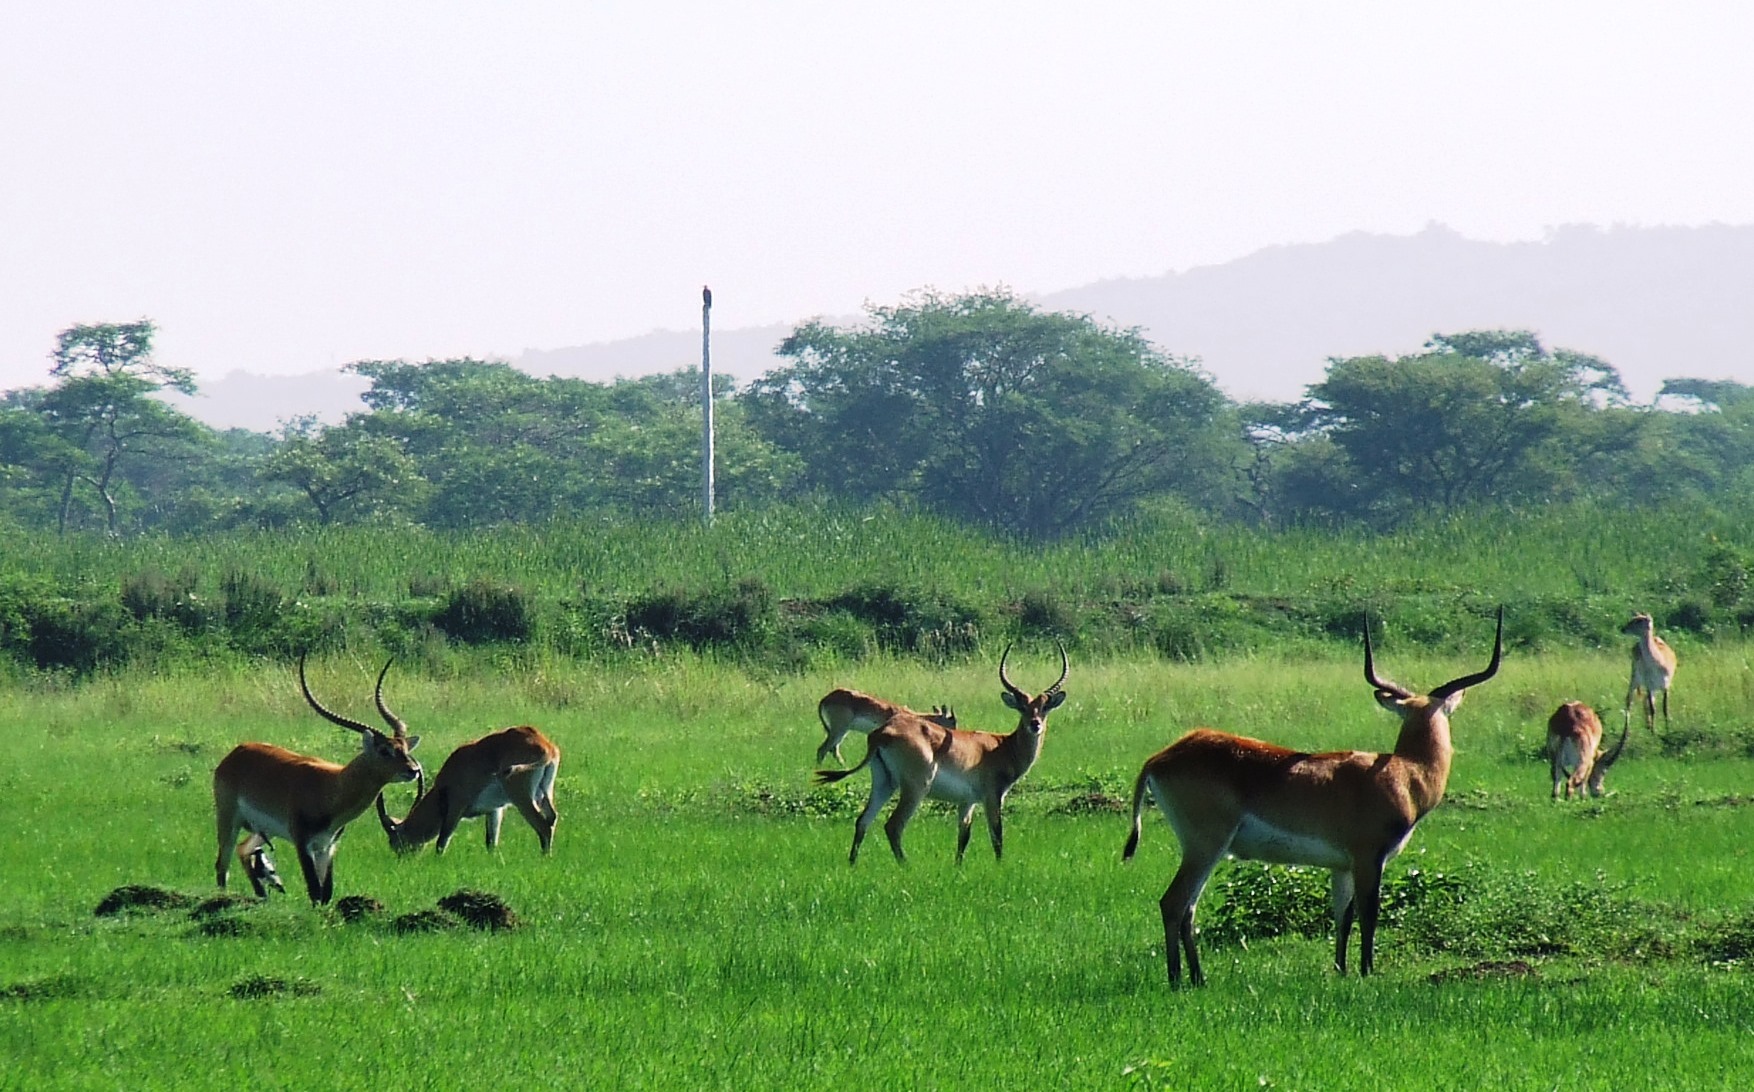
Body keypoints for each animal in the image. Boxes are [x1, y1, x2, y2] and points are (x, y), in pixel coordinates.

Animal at [370, 659, 561, 855]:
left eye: (396, 842)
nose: (403, 858)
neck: (443, 786)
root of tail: (546, 747)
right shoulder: (495, 810)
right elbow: (491, 842)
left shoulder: (456, 806)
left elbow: (442, 841)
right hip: (545, 791)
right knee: (552, 818)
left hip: (521, 796)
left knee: (543, 826)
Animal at [817, 687, 961, 764]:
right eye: (953, 722)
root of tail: (826, 698)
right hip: (839, 729)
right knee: (823, 749)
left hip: (842, 730)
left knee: (833, 750)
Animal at [1129, 609, 1501, 988]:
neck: (1405, 772)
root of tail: (1161, 757)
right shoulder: (1369, 857)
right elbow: (1369, 912)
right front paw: (1367, 972)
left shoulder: (1342, 866)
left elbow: (1343, 917)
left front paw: (1341, 970)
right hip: (1206, 846)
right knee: (1173, 903)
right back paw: (1177, 980)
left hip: (1205, 850)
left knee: (1188, 908)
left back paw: (1198, 978)